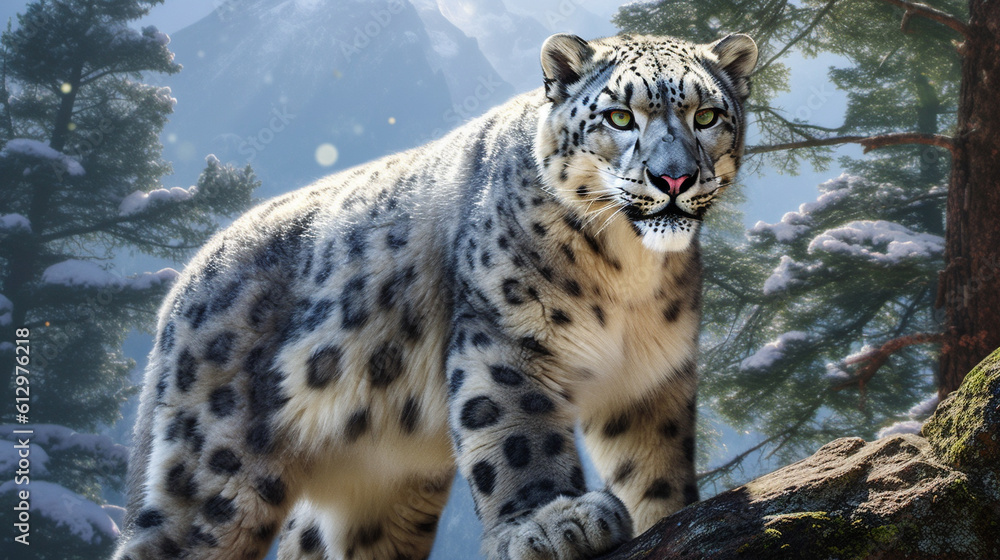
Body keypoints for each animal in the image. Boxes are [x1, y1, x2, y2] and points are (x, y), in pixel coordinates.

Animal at [114, 31, 757, 560]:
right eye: (621, 116)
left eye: (706, 114)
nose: (672, 178)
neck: (631, 274)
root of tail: (186, 278)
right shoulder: (504, 336)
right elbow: (516, 432)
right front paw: (553, 523)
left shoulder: (651, 375)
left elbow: (655, 463)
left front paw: (671, 516)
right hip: (216, 472)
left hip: (383, 486)